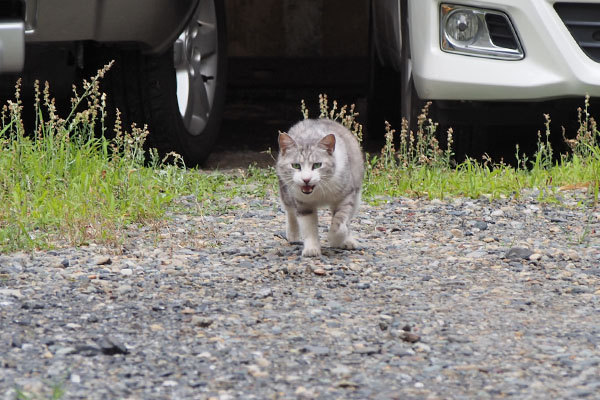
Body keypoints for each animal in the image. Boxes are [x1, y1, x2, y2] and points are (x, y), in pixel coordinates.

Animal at [274, 118, 364, 256]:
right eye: (295, 165)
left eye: (317, 165)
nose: (306, 179)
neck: (318, 192)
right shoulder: (303, 204)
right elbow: (308, 227)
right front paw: (311, 249)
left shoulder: (346, 196)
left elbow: (341, 221)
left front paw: (334, 238)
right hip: (285, 189)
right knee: (290, 211)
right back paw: (293, 234)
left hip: (356, 193)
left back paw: (348, 241)